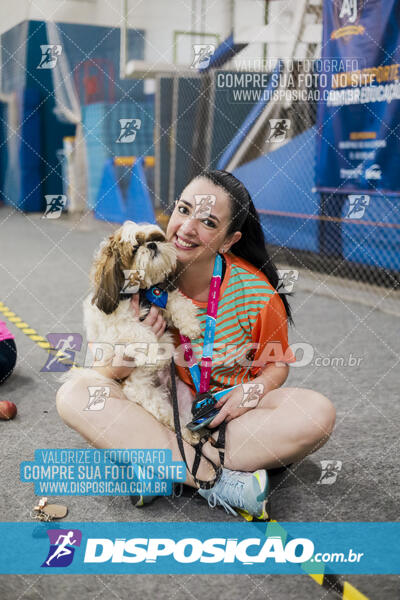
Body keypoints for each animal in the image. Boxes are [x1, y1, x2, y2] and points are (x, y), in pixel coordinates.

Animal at [81, 220, 202, 446]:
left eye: (156, 238)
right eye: (135, 247)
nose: (152, 245)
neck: (141, 292)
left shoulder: (160, 296)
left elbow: (177, 302)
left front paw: (191, 324)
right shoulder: (119, 326)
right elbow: (139, 333)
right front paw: (154, 356)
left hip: (182, 395)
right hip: (148, 395)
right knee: (169, 417)